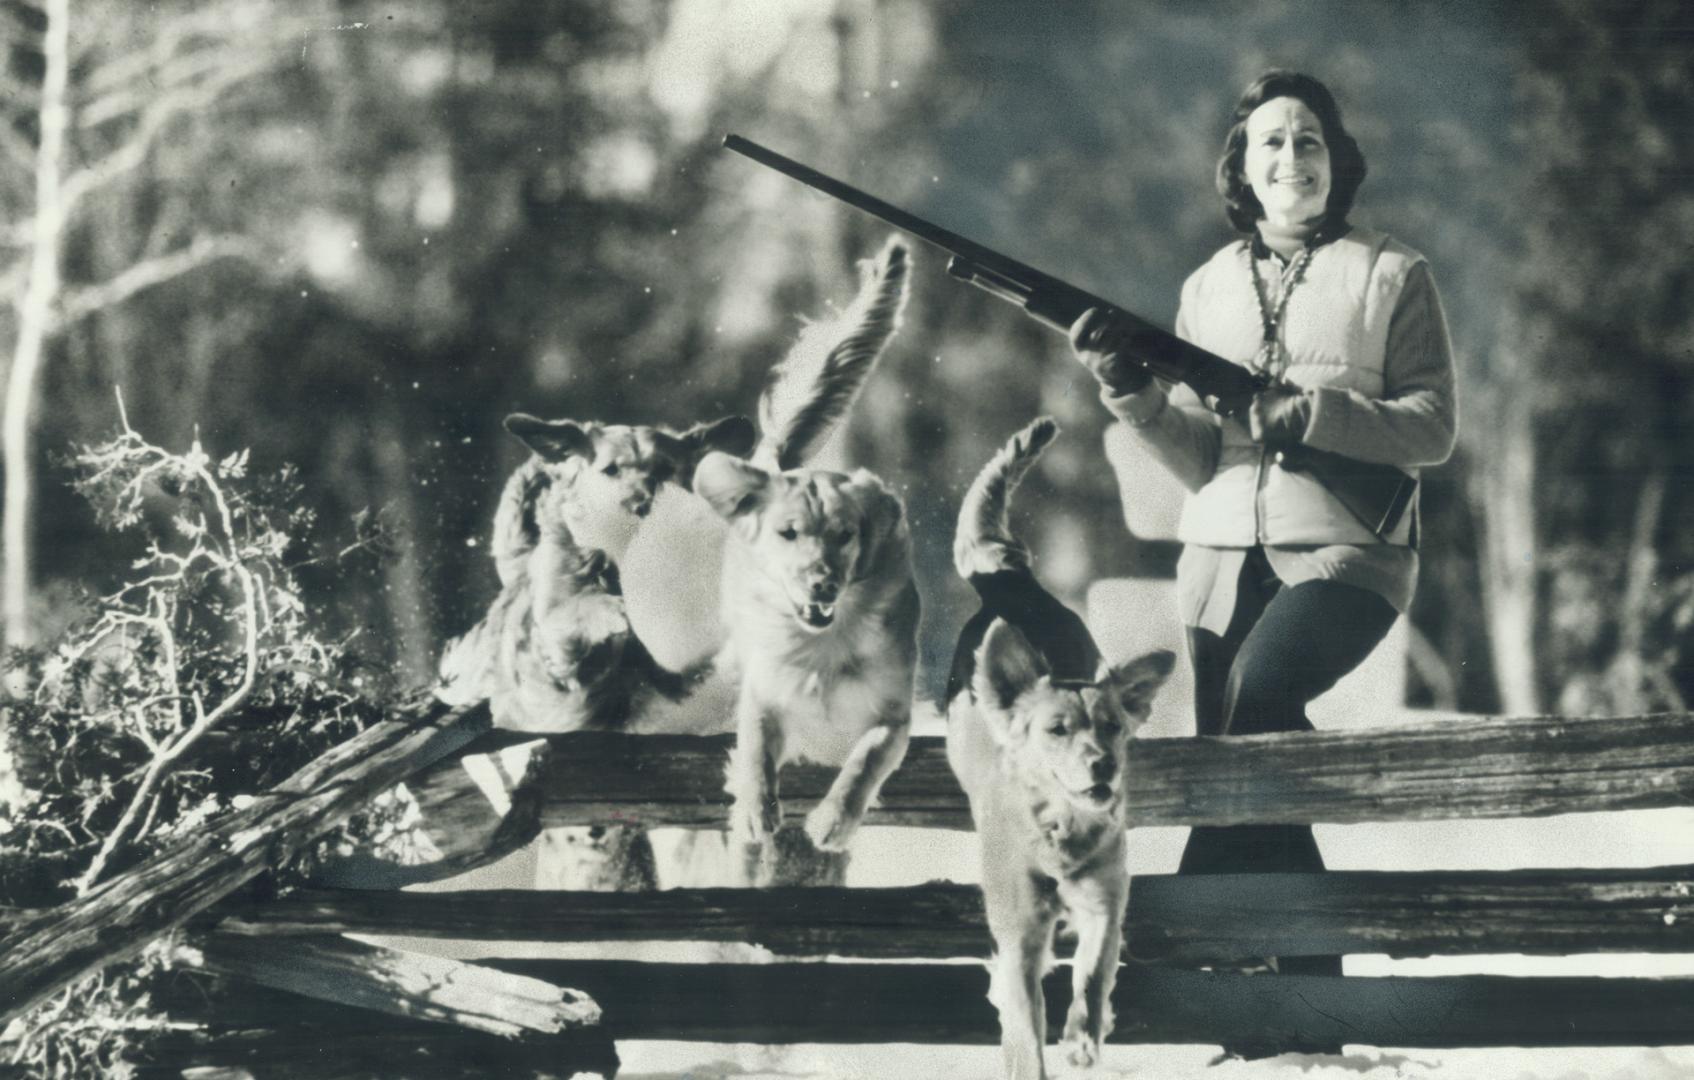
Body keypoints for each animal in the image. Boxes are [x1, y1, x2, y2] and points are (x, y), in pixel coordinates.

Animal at [694, 235, 921, 873]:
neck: (823, 644)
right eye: (787, 533)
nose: (821, 583)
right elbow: (753, 747)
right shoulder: (766, 689)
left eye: (845, 534)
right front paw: (755, 808)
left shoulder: (894, 711)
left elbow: (864, 761)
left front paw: (832, 821)